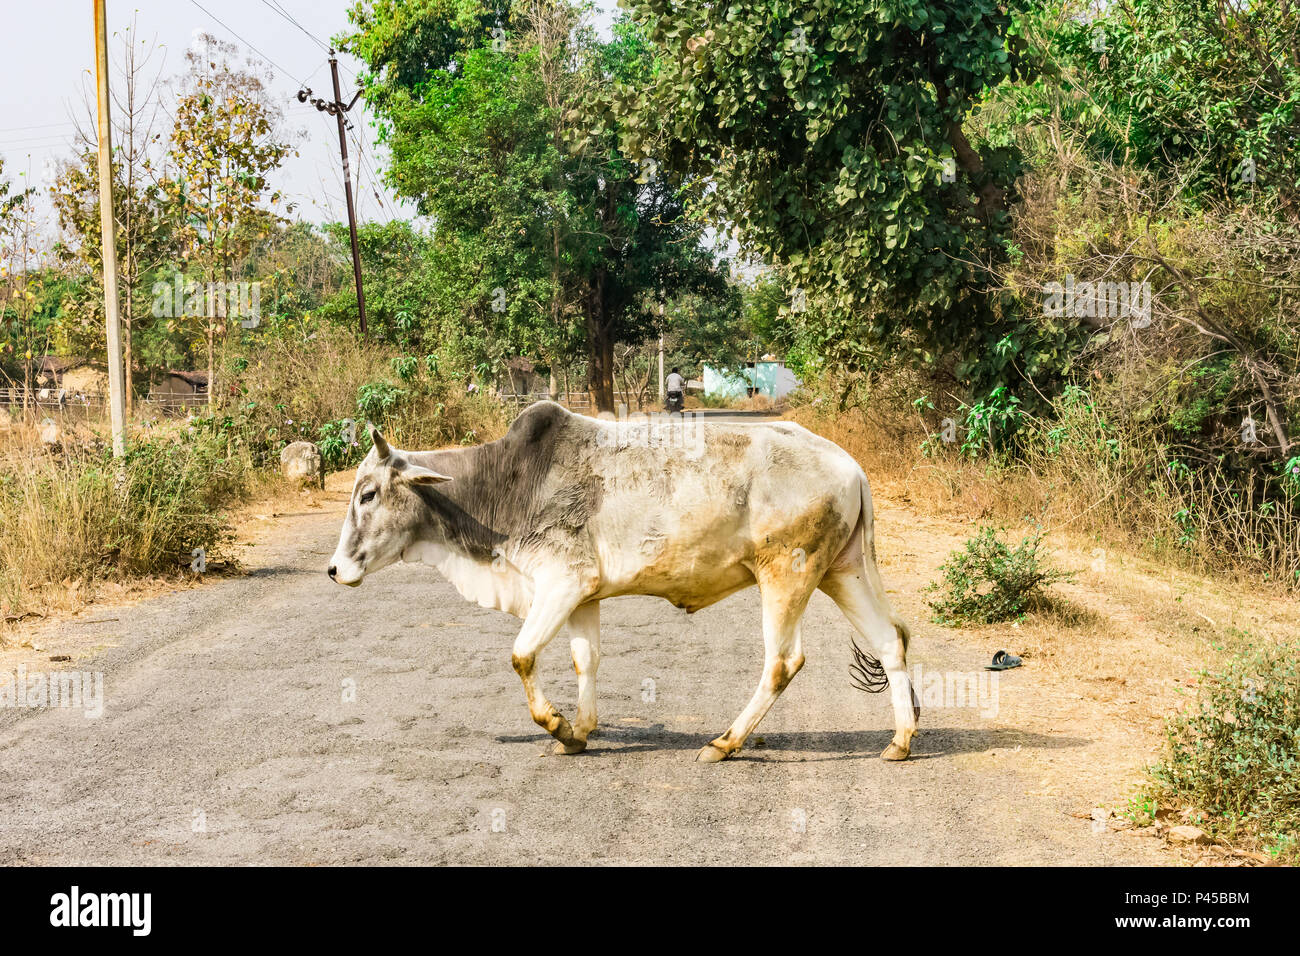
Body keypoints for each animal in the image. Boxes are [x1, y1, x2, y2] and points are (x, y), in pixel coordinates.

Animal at [328, 401, 918, 762]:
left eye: (368, 494)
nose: (335, 569)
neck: (509, 486)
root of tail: (851, 466)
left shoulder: (561, 581)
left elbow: (521, 655)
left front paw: (557, 725)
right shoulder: (581, 595)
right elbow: (584, 660)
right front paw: (579, 731)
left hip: (785, 575)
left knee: (782, 662)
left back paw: (724, 743)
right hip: (842, 571)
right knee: (890, 641)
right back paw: (900, 740)